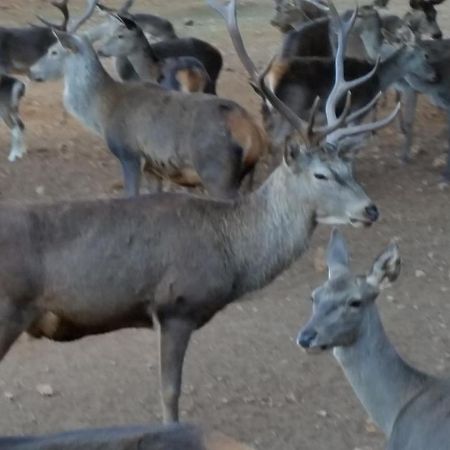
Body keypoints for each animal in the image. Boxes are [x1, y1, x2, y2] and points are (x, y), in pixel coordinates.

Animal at [0, 0, 398, 426]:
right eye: (321, 174)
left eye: (348, 168)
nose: (370, 209)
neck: (232, 257)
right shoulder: (175, 306)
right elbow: (169, 392)